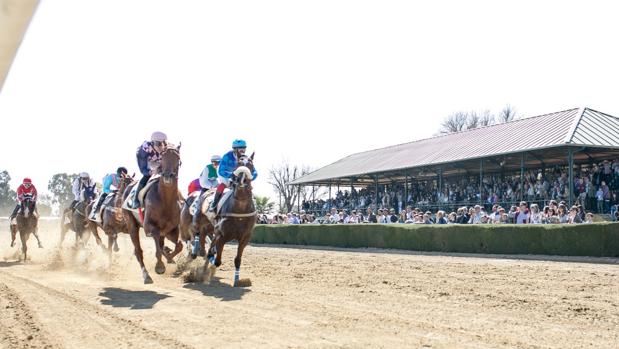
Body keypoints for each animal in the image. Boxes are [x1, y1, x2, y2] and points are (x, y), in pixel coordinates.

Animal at [123, 144, 184, 282]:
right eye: (162, 158)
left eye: (177, 158)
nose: (167, 176)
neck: (165, 200)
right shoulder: (149, 227)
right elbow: (158, 248)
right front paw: (160, 266)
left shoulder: (172, 229)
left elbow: (179, 246)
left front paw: (169, 257)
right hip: (132, 226)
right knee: (138, 251)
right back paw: (146, 275)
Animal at [205, 154, 256, 286]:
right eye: (238, 163)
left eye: (251, 164)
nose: (242, 181)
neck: (240, 210)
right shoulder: (222, 235)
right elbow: (217, 261)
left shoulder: (245, 238)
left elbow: (238, 260)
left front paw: (238, 281)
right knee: (211, 249)